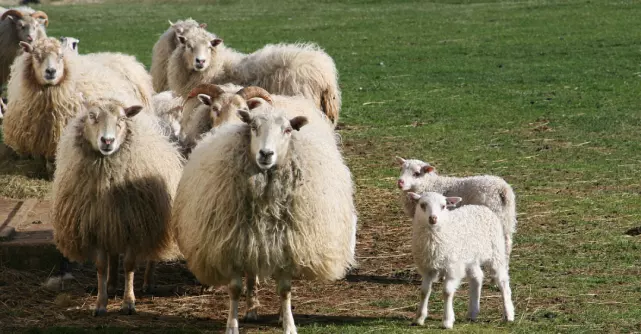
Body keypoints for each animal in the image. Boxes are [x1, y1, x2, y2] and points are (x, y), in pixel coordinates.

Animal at [51, 97, 184, 316]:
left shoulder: (134, 225)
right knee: (113, 256)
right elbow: (101, 266)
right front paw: (100, 303)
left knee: (150, 255)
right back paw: (112, 285)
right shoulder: (96, 226)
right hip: (112, 222)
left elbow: (129, 265)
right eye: (92, 116)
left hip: (151, 221)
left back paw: (147, 283)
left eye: (122, 119)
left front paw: (128, 302)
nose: (107, 141)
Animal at [171, 105, 356, 334]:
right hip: (251, 242)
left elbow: (285, 290)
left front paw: (289, 324)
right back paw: (252, 309)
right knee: (251, 277)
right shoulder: (232, 247)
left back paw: (278, 314)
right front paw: (232, 326)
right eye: (253, 126)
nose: (266, 154)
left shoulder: (286, 247)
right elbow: (235, 289)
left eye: (287, 130)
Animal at [404, 190, 516, 328]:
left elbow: (447, 292)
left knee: (503, 281)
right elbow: (424, 291)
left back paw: (508, 314)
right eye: (422, 205)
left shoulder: (452, 267)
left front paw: (447, 321)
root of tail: (481, 207)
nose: (433, 218)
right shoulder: (427, 268)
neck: (433, 241)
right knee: (477, 277)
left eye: (443, 206)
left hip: (496, 251)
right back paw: (473, 312)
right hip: (470, 257)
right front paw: (419, 318)